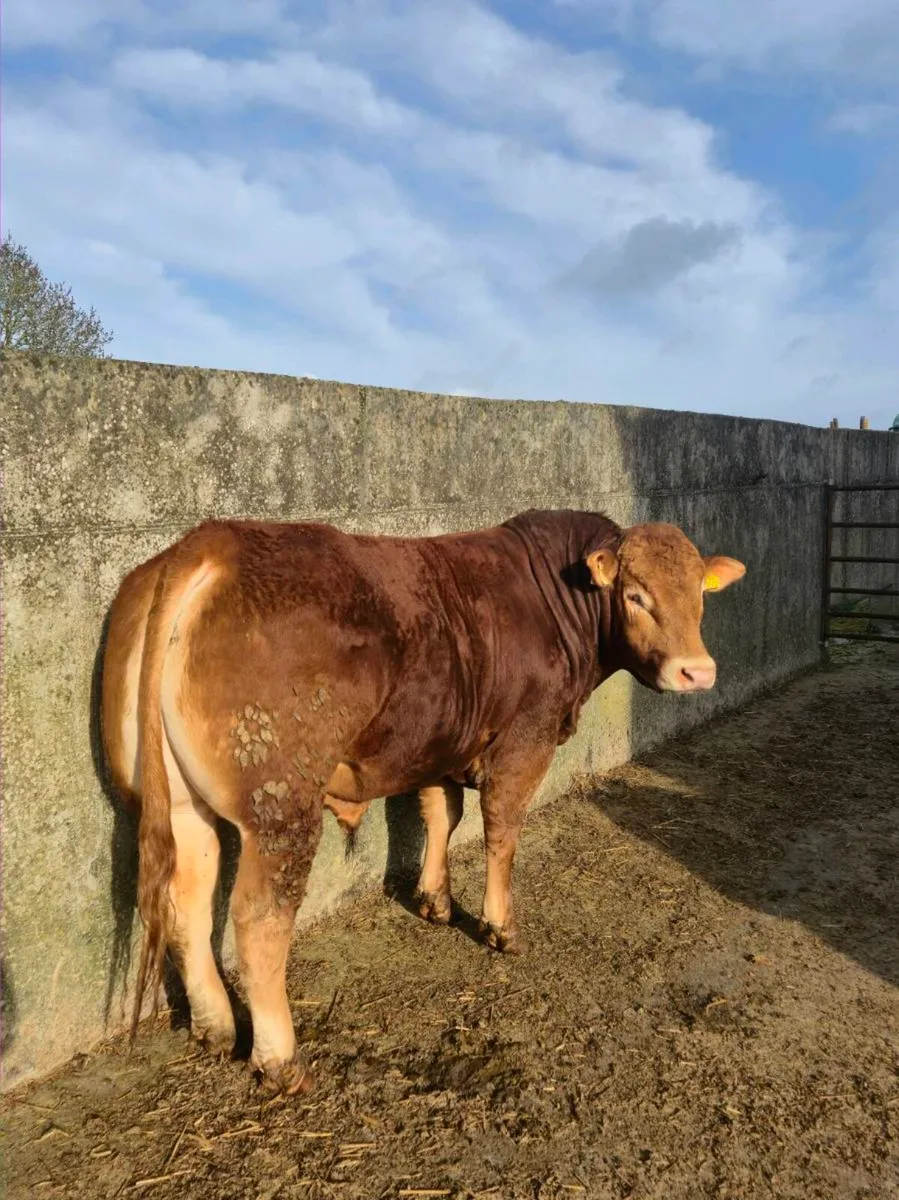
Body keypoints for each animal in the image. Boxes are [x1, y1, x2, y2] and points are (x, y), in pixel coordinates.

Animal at [101, 508, 745, 1093]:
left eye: (700, 596)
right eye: (636, 595)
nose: (697, 672)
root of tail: (214, 540)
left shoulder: (440, 739)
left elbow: (443, 814)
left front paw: (436, 898)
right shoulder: (526, 739)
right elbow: (502, 829)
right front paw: (500, 926)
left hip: (182, 804)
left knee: (187, 901)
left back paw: (214, 1026)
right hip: (281, 805)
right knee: (259, 918)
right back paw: (280, 1058)